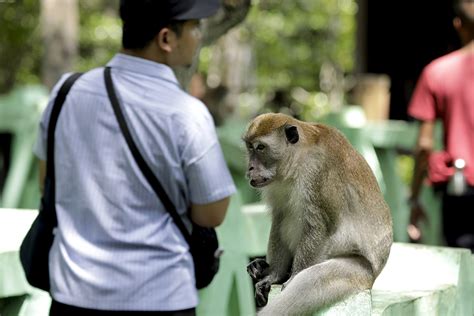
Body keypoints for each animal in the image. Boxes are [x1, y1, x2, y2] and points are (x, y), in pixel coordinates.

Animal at [243, 112, 390, 314]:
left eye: (261, 147)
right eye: (250, 148)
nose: (250, 167)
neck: (299, 159)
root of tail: (374, 276)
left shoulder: (319, 173)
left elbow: (321, 227)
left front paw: (290, 276)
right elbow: (280, 218)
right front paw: (274, 274)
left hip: (358, 271)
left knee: (311, 281)